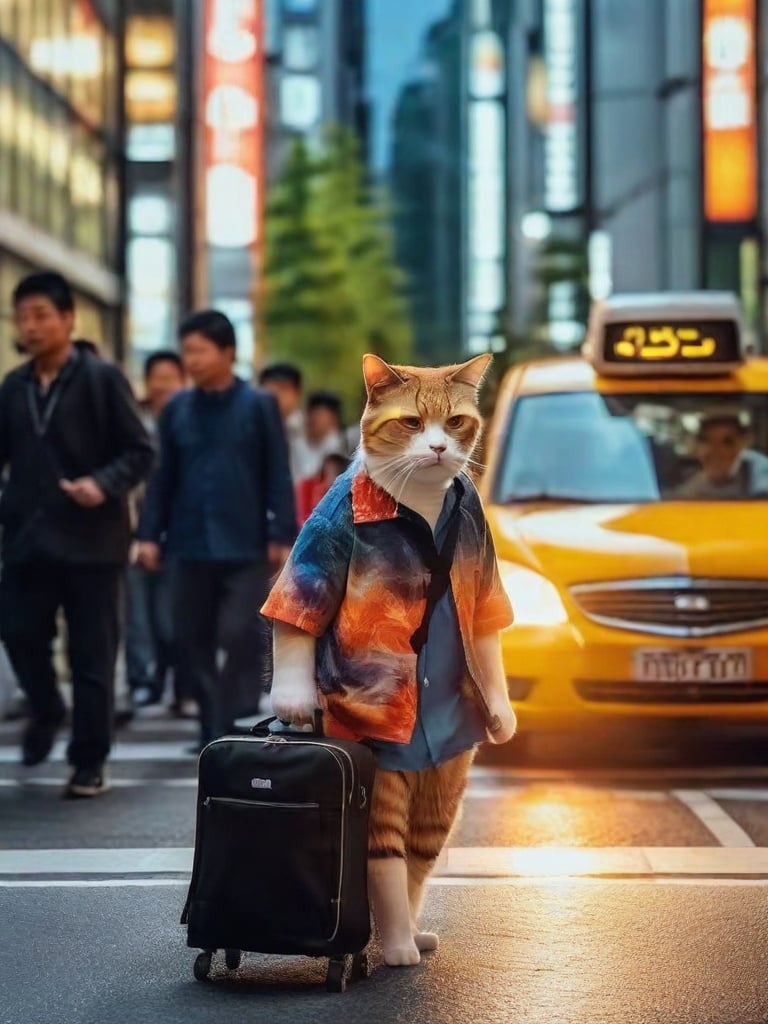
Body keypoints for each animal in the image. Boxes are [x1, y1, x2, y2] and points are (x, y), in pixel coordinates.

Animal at [264, 354, 518, 966]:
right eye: (411, 423)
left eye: (455, 422)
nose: (438, 448)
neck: (419, 503)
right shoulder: (327, 527)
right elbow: (297, 615)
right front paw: (292, 699)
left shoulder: (479, 550)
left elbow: (485, 626)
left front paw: (503, 715)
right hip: (381, 770)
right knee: (383, 847)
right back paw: (397, 942)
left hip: (445, 776)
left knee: (422, 844)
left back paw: (404, 932)